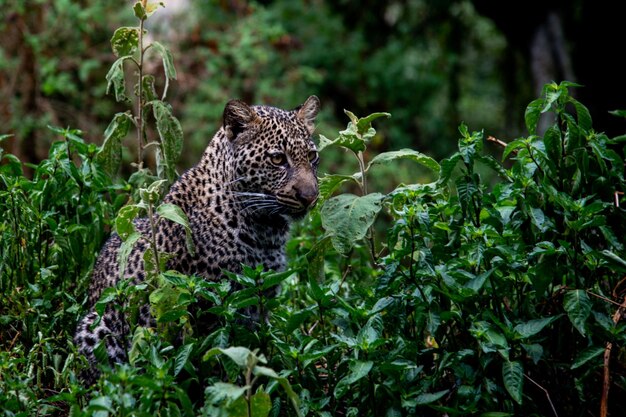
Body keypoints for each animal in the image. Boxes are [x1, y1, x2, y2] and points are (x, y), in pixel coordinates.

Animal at [73, 95, 320, 384]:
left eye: (312, 156)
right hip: (96, 327)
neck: (266, 229)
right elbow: (216, 358)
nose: (310, 196)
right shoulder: (213, 307)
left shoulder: (259, 303)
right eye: (278, 159)